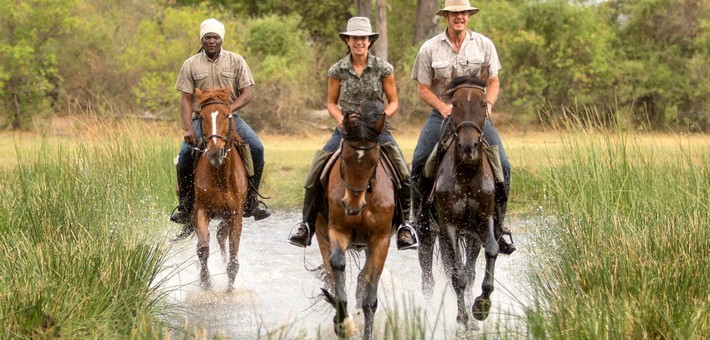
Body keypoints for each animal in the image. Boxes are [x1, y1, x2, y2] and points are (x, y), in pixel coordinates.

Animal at [192, 85, 250, 292]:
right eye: (202, 117)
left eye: (227, 115)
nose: (215, 152)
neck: (220, 176)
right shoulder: (201, 210)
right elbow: (202, 249)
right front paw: (206, 282)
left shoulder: (235, 214)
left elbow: (233, 257)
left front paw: (229, 289)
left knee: (221, 237)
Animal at [318, 100, 394, 340]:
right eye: (345, 157)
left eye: (374, 161)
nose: (352, 206)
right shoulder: (337, 231)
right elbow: (337, 266)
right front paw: (343, 324)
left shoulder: (380, 240)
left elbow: (370, 299)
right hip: (321, 234)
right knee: (331, 275)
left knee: (363, 278)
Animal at [420, 76, 504, 330]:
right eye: (454, 104)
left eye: (483, 104)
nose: (468, 147)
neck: (466, 173)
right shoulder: (449, 226)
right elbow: (458, 275)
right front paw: (464, 321)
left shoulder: (483, 221)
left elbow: (491, 252)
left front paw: (481, 308)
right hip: (430, 235)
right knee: (430, 277)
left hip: (469, 236)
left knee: (469, 269)